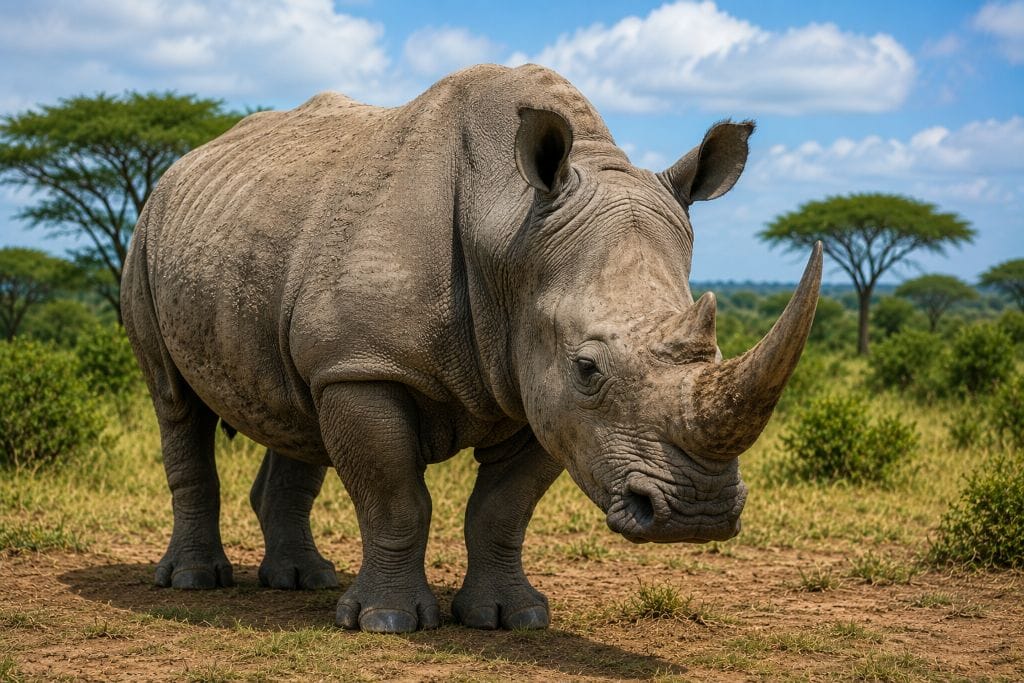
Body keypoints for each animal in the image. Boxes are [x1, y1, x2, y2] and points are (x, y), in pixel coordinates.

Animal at [121, 64, 821, 634]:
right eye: (588, 368)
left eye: (716, 353)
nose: (697, 515)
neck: (511, 231)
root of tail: (183, 164)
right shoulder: (369, 366)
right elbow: (395, 499)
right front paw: (388, 622)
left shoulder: (536, 390)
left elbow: (502, 510)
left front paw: (511, 618)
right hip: (148, 235)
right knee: (175, 401)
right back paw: (194, 581)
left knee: (296, 406)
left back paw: (303, 581)